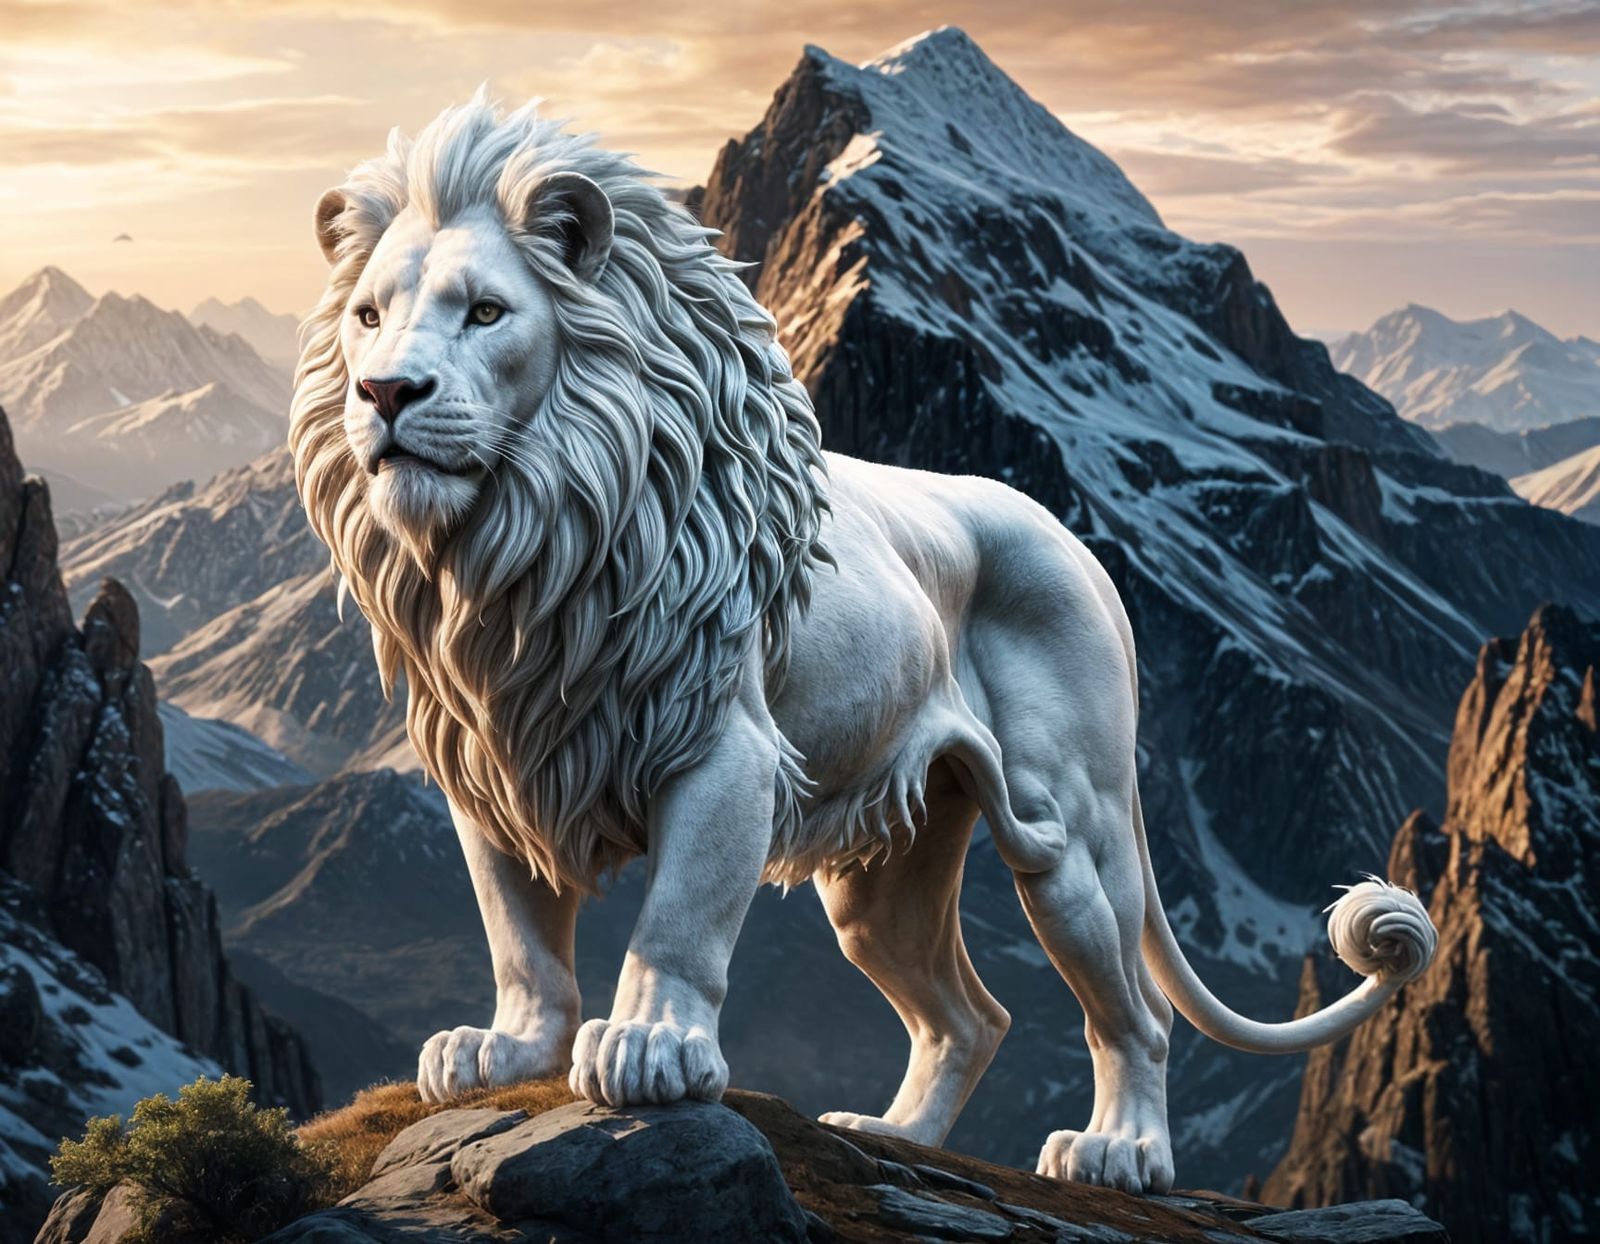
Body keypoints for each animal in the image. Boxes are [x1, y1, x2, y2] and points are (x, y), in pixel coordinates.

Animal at [291, 93, 1437, 1194]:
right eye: (368, 316)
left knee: (1135, 1014)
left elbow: (679, 917)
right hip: (882, 876)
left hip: (1070, 831)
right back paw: (892, 1132)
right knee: (972, 1016)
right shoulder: (497, 756)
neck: (519, 549)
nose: (385, 392)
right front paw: (504, 1051)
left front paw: (650, 1049)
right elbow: (521, 934)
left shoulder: (726, 749)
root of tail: (1080, 548)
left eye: (485, 312)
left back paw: (1121, 1153)